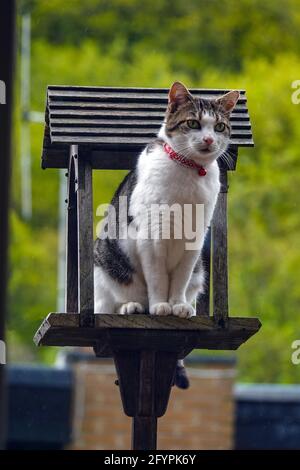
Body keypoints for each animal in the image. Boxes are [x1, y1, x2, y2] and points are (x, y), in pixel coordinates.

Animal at [94, 81, 239, 390]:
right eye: (193, 123)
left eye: (219, 127)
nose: (208, 139)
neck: (189, 172)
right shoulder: (152, 237)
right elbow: (158, 277)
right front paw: (161, 306)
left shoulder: (195, 241)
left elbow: (180, 278)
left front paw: (177, 306)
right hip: (105, 267)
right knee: (110, 302)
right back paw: (134, 306)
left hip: (199, 271)